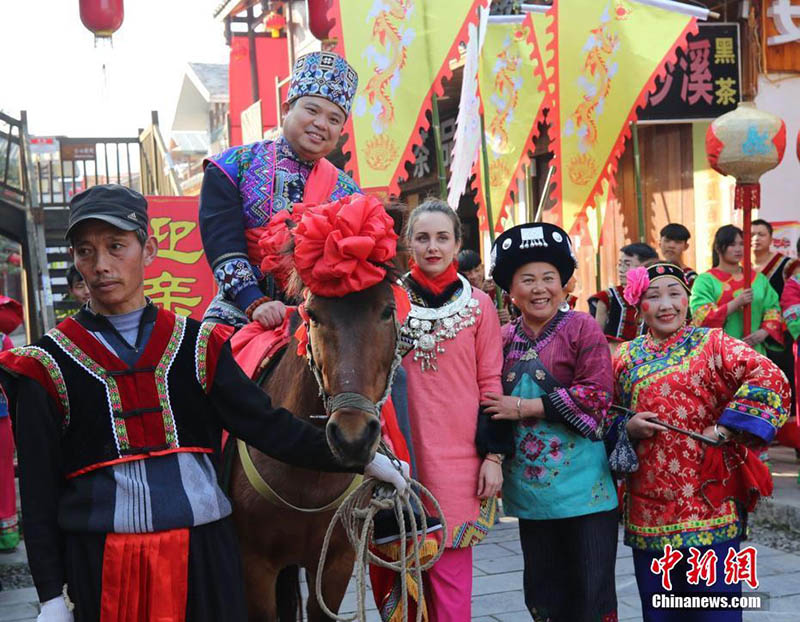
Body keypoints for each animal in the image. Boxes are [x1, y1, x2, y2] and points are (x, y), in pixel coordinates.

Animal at [228, 280, 400, 622]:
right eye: (314, 315)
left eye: (388, 311)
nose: (352, 437)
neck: (308, 478)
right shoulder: (253, 564)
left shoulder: (337, 562)